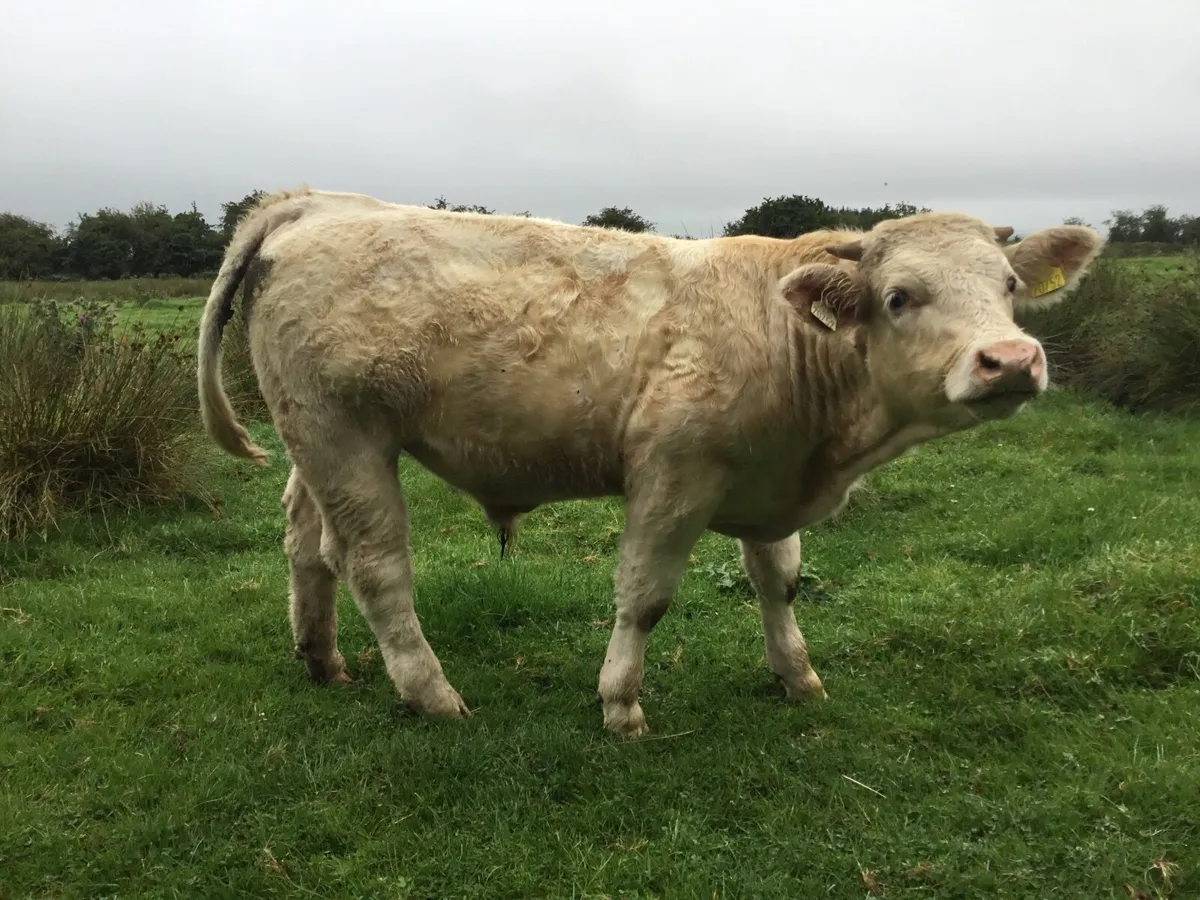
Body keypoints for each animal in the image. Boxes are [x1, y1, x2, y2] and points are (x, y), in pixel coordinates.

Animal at [197, 188, 1104, 736]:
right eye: (899, 297)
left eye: (1010, 285)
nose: (1011, 360)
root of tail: (314, 203)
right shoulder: (673, 475)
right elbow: (646, 596)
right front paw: (620, 704)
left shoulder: (769, 478)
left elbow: (779, 582)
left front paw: (797, 676)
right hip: (343, 436)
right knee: (375, 565)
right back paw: (433, 694)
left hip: (314, 441)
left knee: (306, 544)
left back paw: (322, 660)